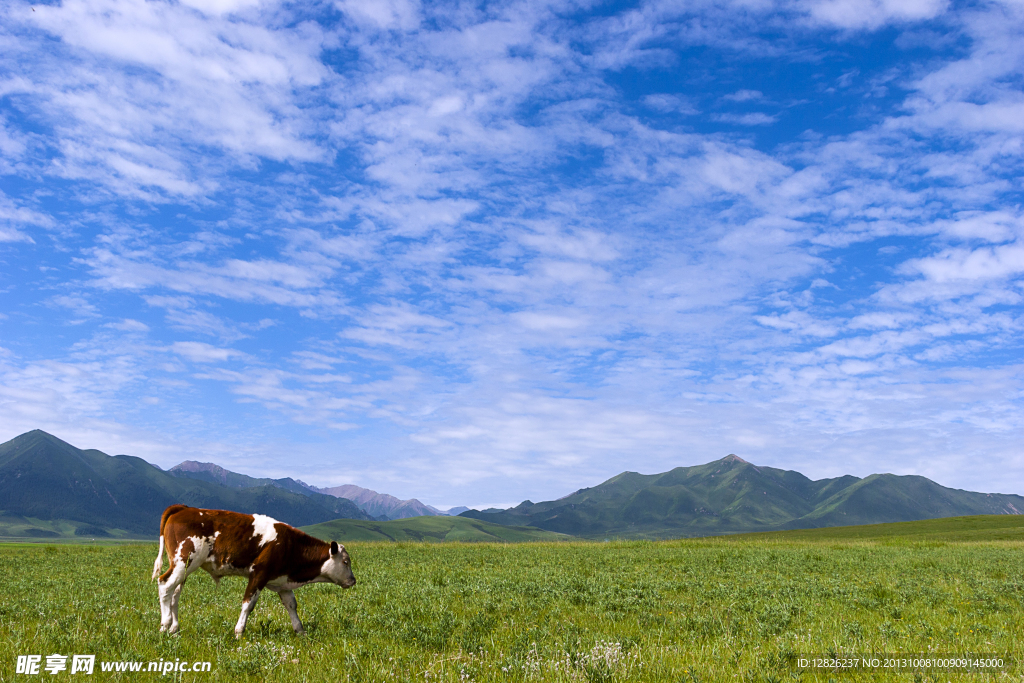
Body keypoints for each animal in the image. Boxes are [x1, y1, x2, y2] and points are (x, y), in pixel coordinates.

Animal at [151, 505, 356, 638]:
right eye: (346, 562)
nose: (353, 580)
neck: (289, 545)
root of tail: (184, 508)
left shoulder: (282, 581)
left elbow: (291, 605)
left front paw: (301, 631)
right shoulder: (258, 575)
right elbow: (248, 604)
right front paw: (239, 632)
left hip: (183, 568)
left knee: (175, 594)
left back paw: (175, 628)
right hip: (183, 562)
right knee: (165, 585)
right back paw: (164, 625)